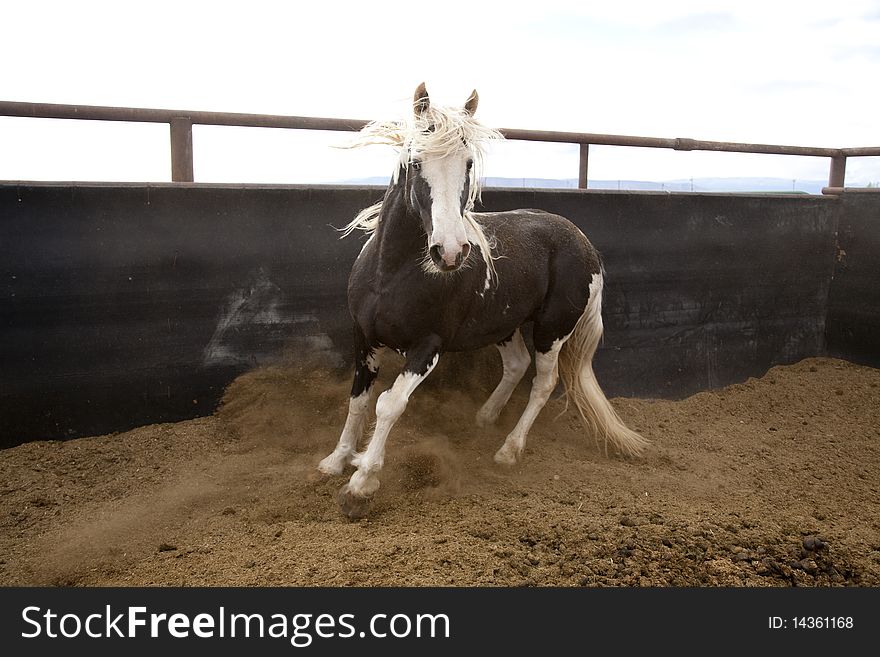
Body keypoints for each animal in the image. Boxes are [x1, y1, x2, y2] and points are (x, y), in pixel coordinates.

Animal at [318, 80, 648, 516]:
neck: (391, 275)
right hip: (505, 325)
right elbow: (357, 399)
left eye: (469, 164)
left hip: (552, 330)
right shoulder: (364, 337)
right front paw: (335, 461)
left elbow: (389, 404)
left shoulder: (427, 347)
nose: (450, 251)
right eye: (416, 162)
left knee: (544, 382)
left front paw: (360, 483)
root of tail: (583, 242)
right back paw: (484, 418)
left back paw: (508, 450)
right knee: (517, 364)